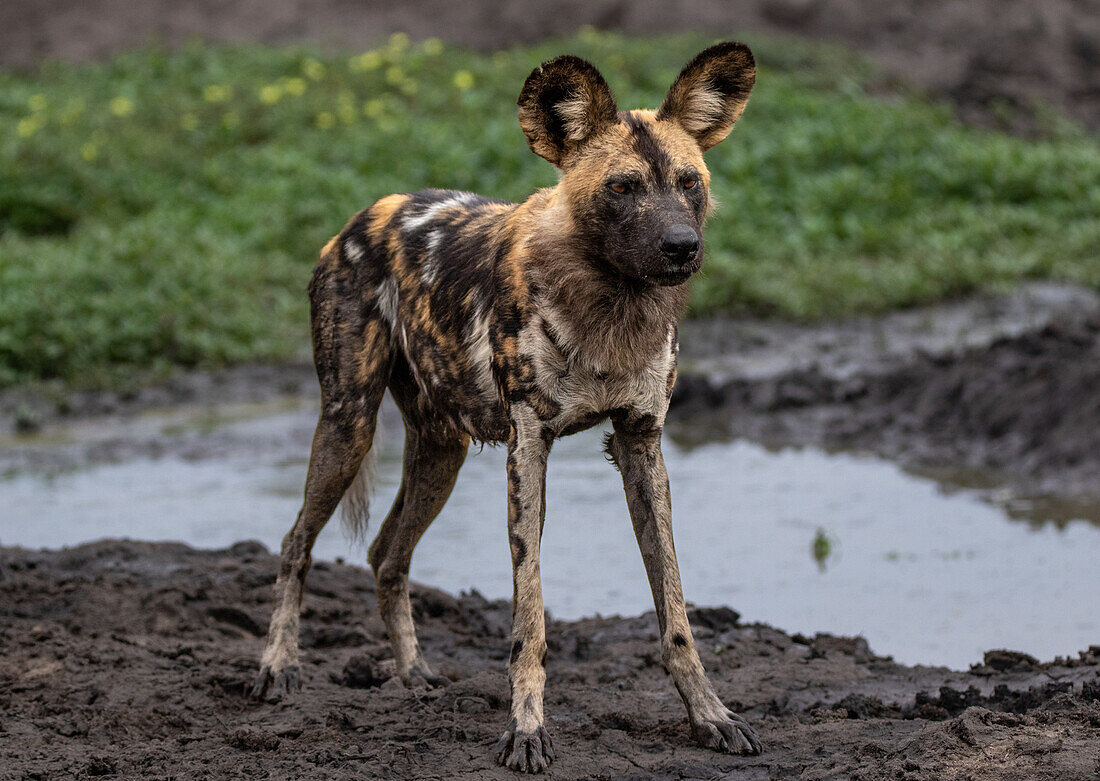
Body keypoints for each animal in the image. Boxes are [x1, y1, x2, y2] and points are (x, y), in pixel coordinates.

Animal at [253, 44, 761, 778]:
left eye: (689, 182)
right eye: (622, 188)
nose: (680, 246)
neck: (610, 304)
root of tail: (366, 214)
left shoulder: (641, 443)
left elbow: (676, 612)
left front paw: (710, 715)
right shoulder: (529, 446)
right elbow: (531, 616)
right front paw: (526, 730)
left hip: (443, 451)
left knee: (386, 553)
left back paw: (412, 676)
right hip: (348, 427)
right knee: (297, 542)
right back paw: (278, 667)